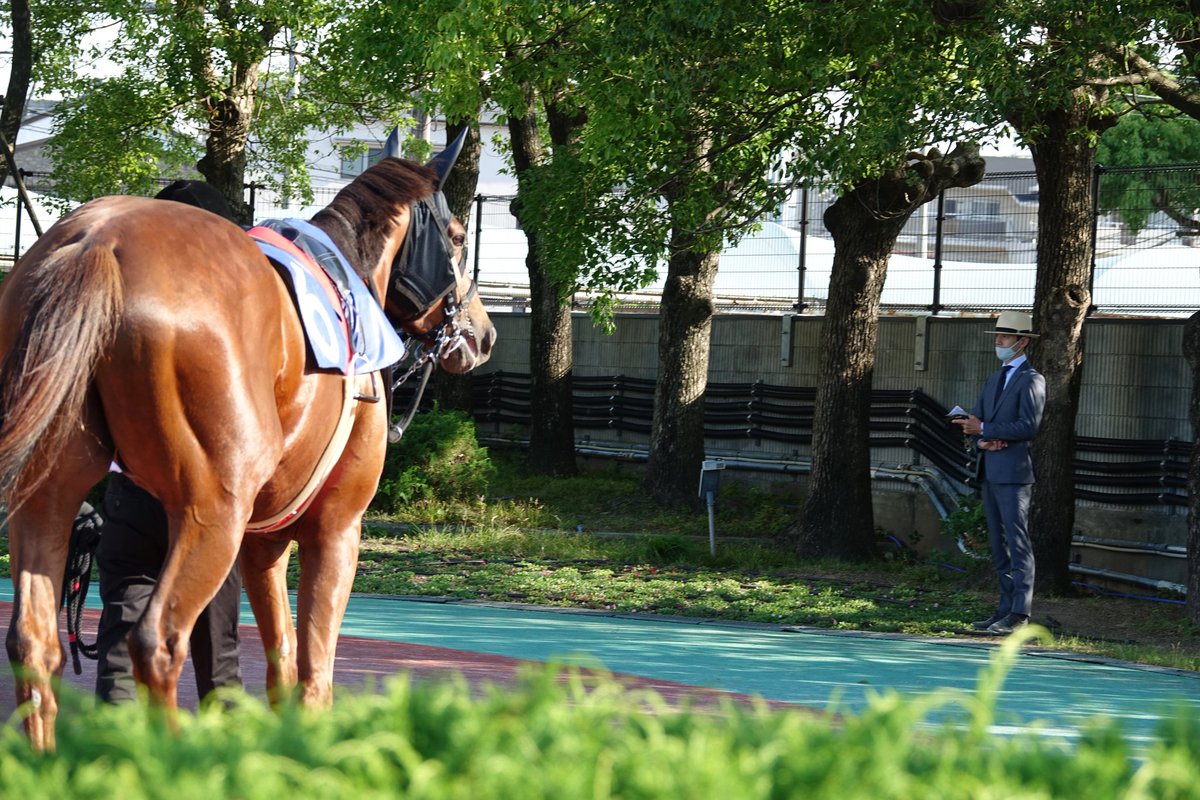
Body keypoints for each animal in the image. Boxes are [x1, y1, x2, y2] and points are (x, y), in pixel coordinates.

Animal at [0, 141, 496, 751]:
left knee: (33, 642)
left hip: (48, 493)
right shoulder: (336, 526)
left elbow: (281, 661)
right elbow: (313, 669)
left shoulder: (264, 541)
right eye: (457, 235)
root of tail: (100, 241)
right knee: (158, 639)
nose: (483, 334)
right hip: (214, 512)